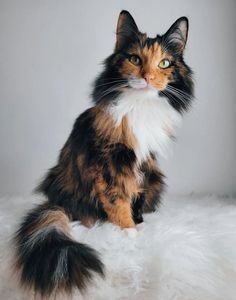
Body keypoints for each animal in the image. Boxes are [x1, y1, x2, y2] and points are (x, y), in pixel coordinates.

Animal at [13, 9, 194, 298]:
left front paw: (138, 223)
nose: (147, 77)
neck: (141, 106)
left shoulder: (145, 164)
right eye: (134, 59)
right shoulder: (108, 162)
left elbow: (136, 195)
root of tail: (57, 201)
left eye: (164, 63)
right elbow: (117, 198)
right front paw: (129, 232)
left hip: (156, 179)